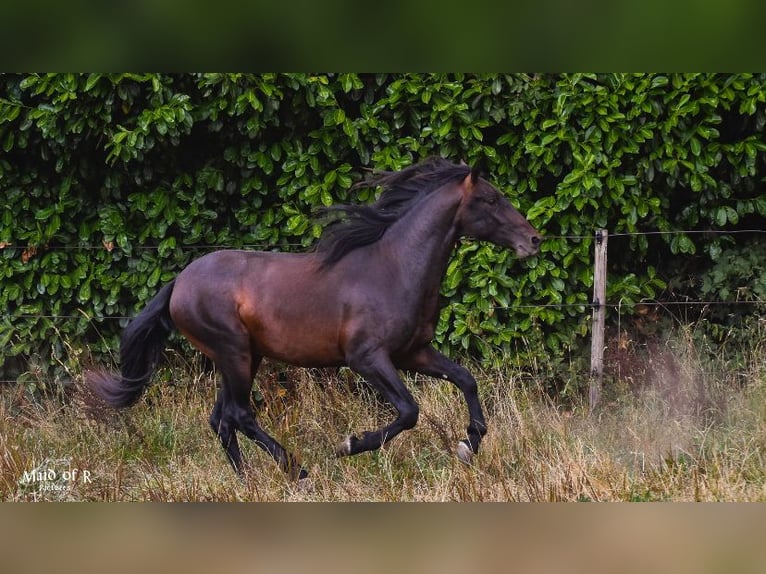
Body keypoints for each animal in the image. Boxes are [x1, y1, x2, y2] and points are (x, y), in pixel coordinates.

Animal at [86, 157, 542, 480]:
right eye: (491, 199)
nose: (534, 240)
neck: (394, 269)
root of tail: (179, 282)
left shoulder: (414, 353)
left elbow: (466, 379)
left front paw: (469, 446)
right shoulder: (367, 358)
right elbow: (409, 411)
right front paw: (348, 445)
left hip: (243, 356)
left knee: (221, 419)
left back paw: (248, 481)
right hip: (233, 352)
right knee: (239, 415)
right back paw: (297, 470)